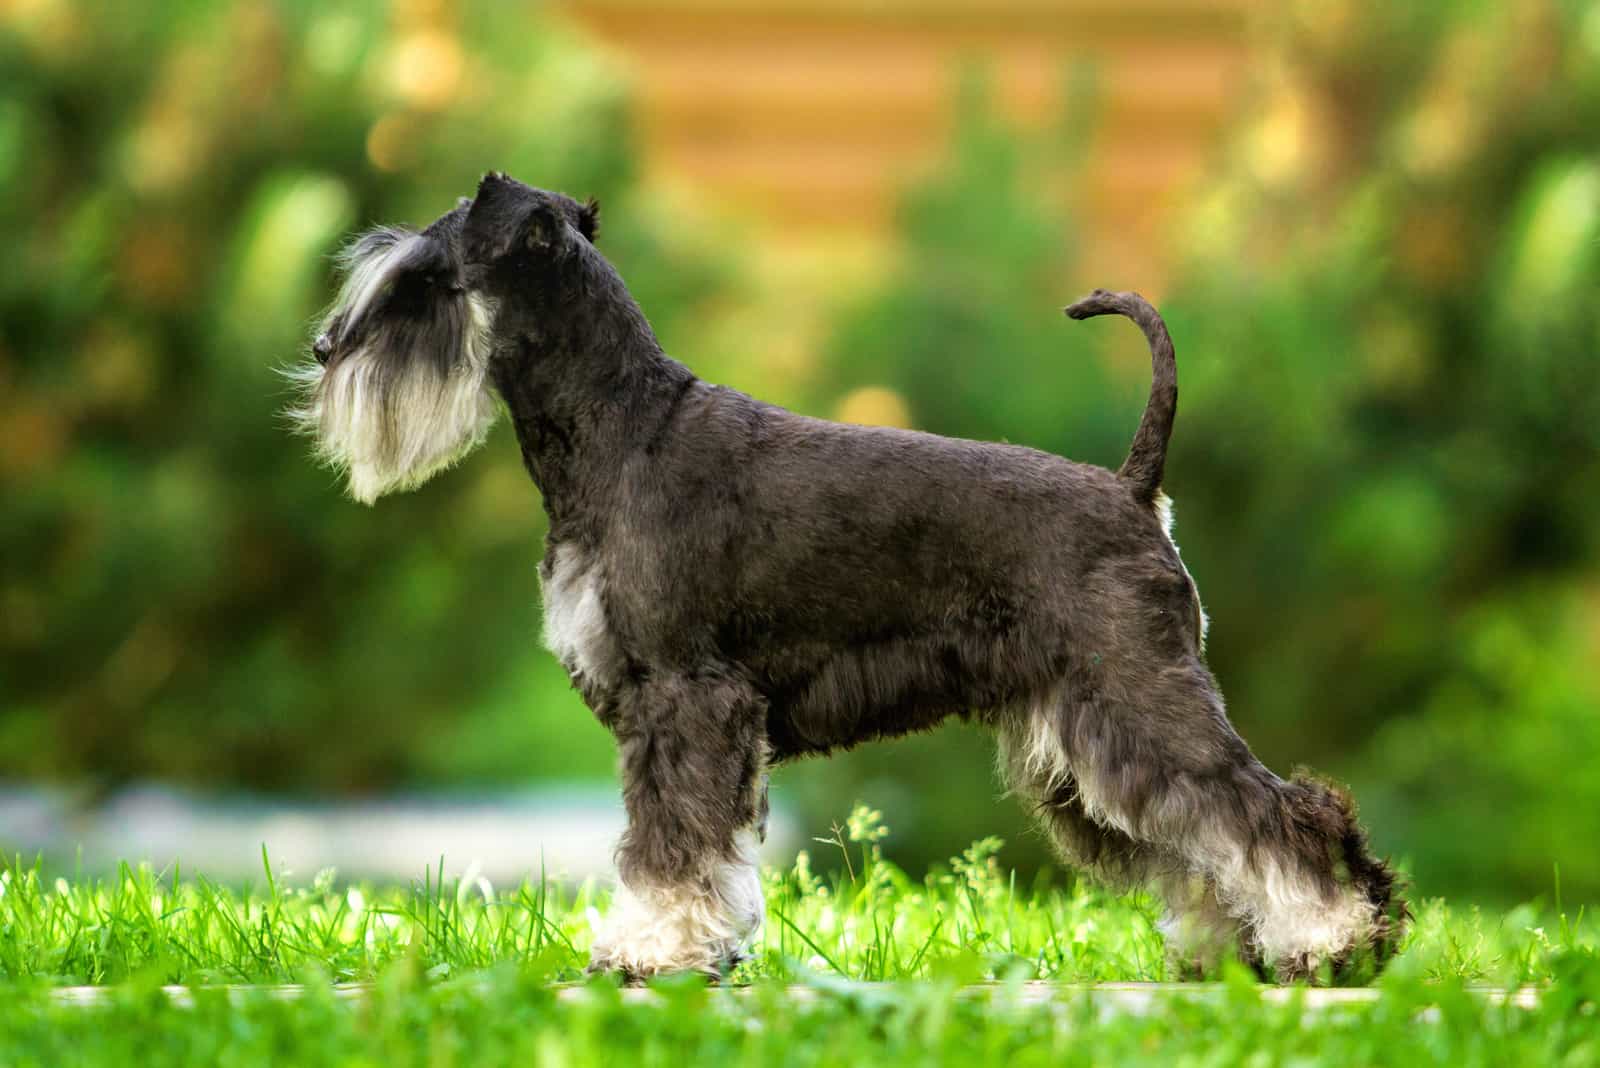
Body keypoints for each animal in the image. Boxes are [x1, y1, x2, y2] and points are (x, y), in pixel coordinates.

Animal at [294, 171, 1408, 978]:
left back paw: (1333, 938)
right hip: (1081, 742)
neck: (614, 427)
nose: (322, 347)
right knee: (1200, 840)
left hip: (1135, 701)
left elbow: (668, 842)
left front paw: (651, 949)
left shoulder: (684, 699)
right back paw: (1239, 952)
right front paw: (700, 945)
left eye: (423, 281)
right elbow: (705, 847)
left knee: (1269, 811)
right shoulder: (689, 713)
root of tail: (1136, 491)